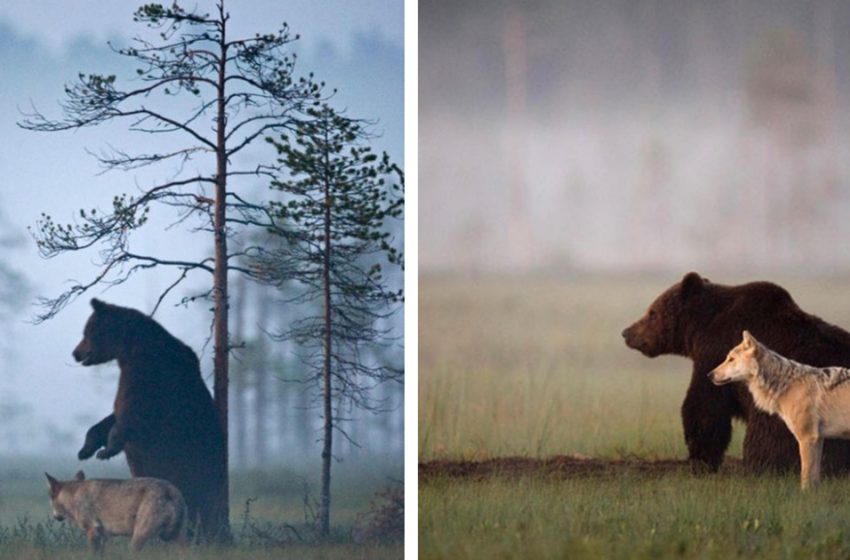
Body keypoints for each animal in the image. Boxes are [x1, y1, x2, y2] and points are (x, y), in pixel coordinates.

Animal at [44, 470, 186, 552]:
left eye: (50, 498)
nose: (54, 517)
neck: (74, 496)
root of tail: (171, 491)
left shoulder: (92, 530)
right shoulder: (104, 536)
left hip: (137, 539)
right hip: (178, 540)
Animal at [72, 300, 227, 540]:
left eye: (87, 332)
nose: (76, 353)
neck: (131, 350)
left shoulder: (151, 377)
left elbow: (133, 414)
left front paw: (107, 450)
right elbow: (112, 416)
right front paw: (86, 449)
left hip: (194, 468)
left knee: (200, 499)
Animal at [620, 274, 850, 474]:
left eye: (652, 312)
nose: (626, 332)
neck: (700, 328)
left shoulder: (714, 355)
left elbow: (704, 407)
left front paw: (701, 460)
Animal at [704, 332, 848, 490]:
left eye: (731, 359)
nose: (709, 375)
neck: (788, 386)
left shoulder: (807, 438)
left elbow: (805, 477)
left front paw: (804, 494)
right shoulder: (818, 439)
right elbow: (814, 478)